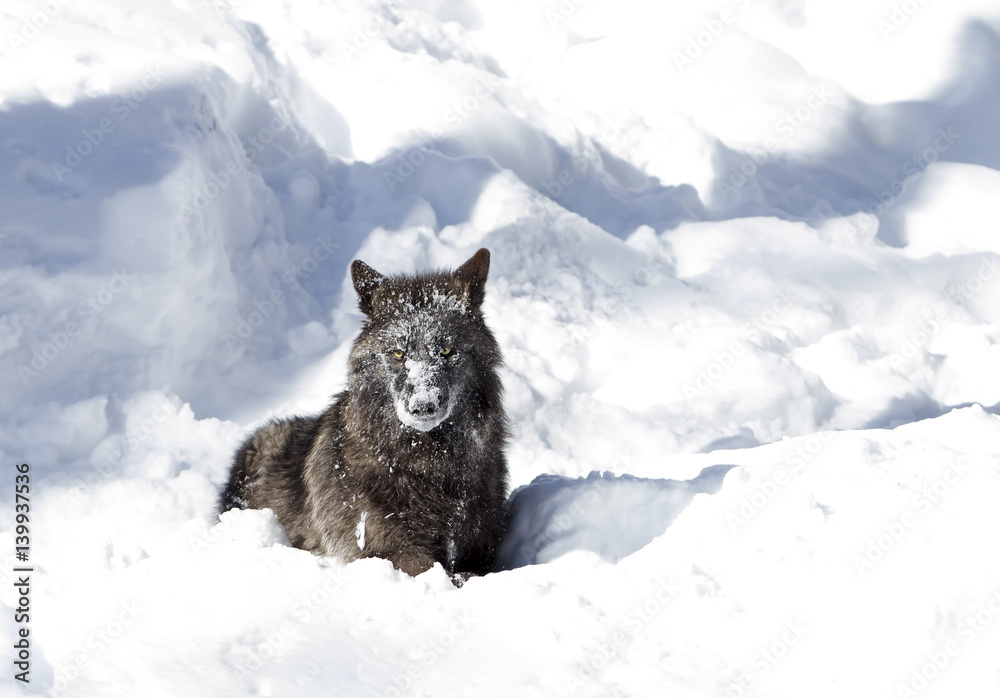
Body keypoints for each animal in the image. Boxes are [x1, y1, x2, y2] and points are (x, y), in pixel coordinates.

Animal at [217, 248, 510, 579]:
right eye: (398, 353)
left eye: (447, 351)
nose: (423, 405)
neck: (426, 463)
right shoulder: (385, 552)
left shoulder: (479, 552)